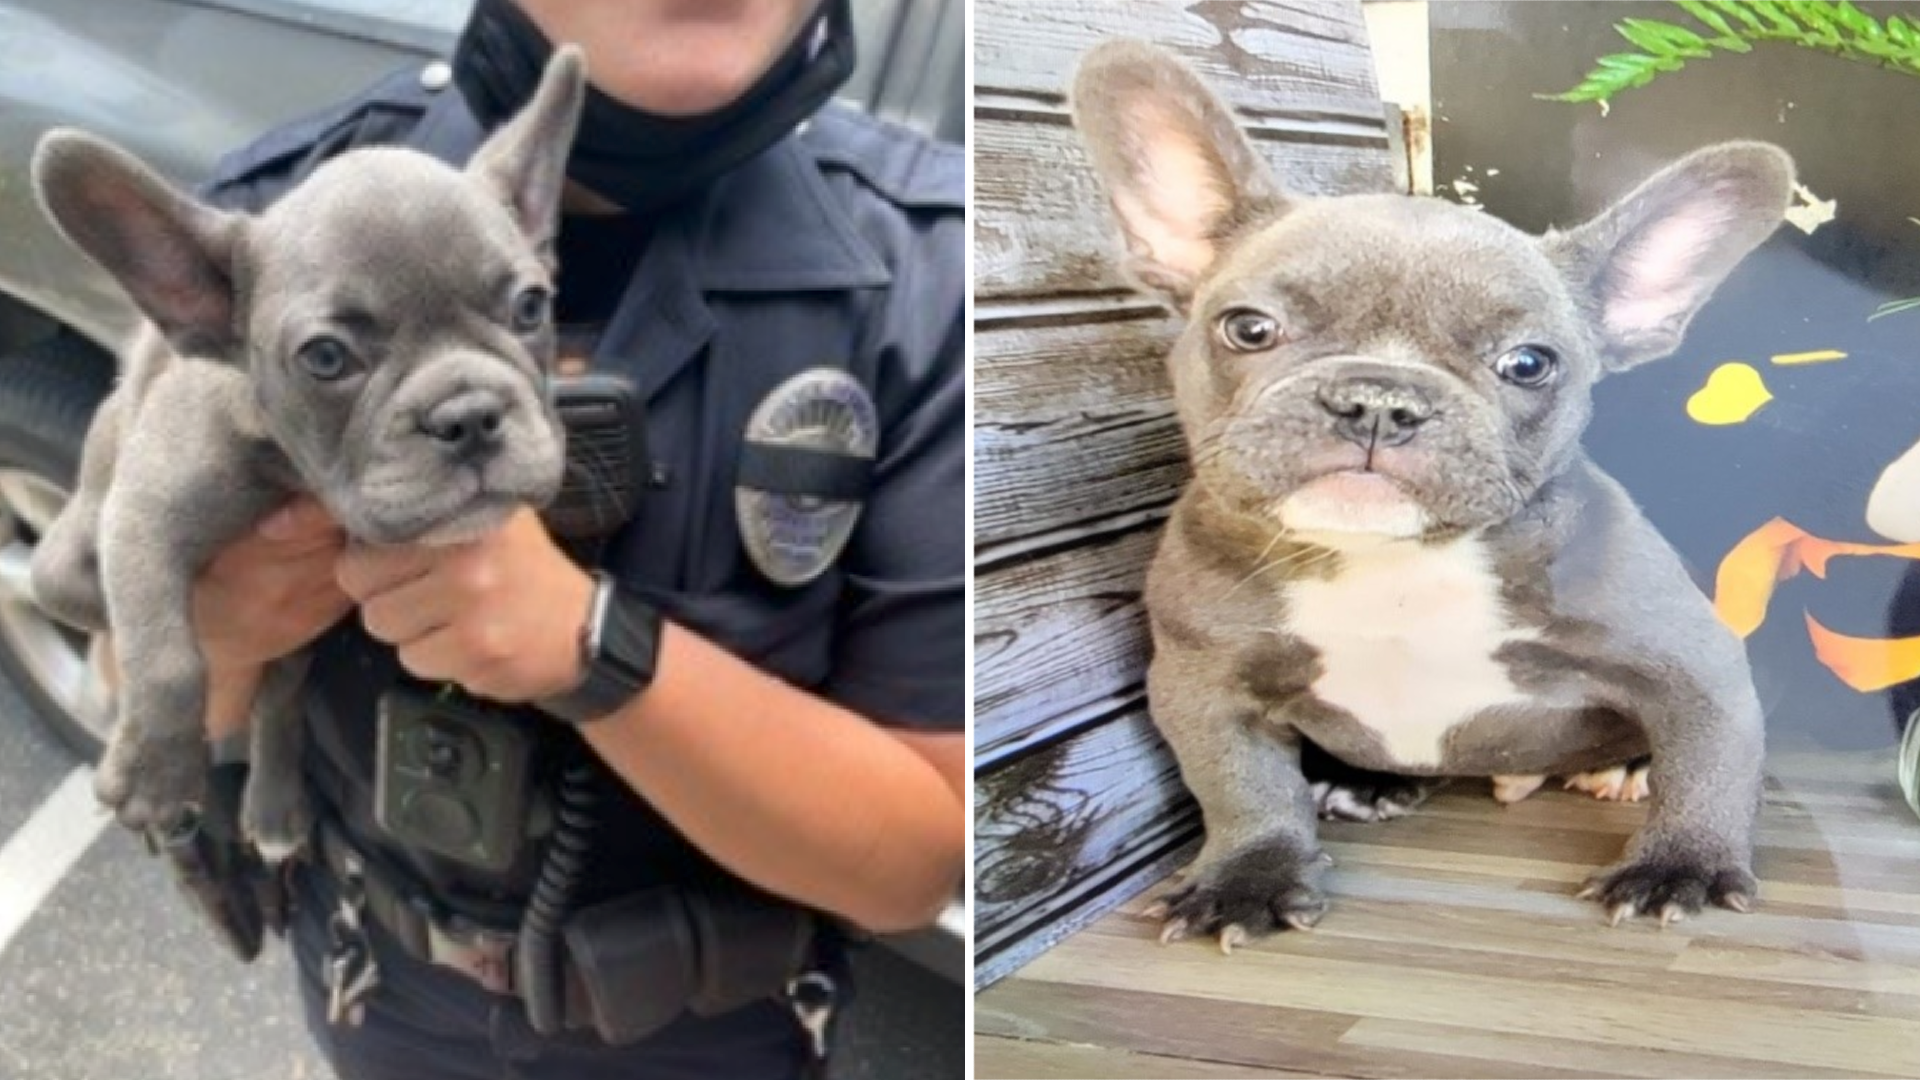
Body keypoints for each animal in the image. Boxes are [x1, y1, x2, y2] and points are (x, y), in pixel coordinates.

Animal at [26, 48, 583, 857]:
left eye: (532, 307)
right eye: (325, 358)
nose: (470, 415)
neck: (294, 475)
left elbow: (261, 683)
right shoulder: (141, 515)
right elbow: (168, 658)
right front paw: (156, 777)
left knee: (280, 694)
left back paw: (273, 806)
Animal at [1075, 39, 1789, 941]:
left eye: (1529, 363)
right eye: (1248, 328)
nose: (1378, 399)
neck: (1393, 562)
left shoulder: (1693, 663)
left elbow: (1707, 760)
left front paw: (1680, 865)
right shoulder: (1204, 682)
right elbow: (1239, 786)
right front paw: (1247, 877)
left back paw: (1623, 769)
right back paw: (1368, 782)